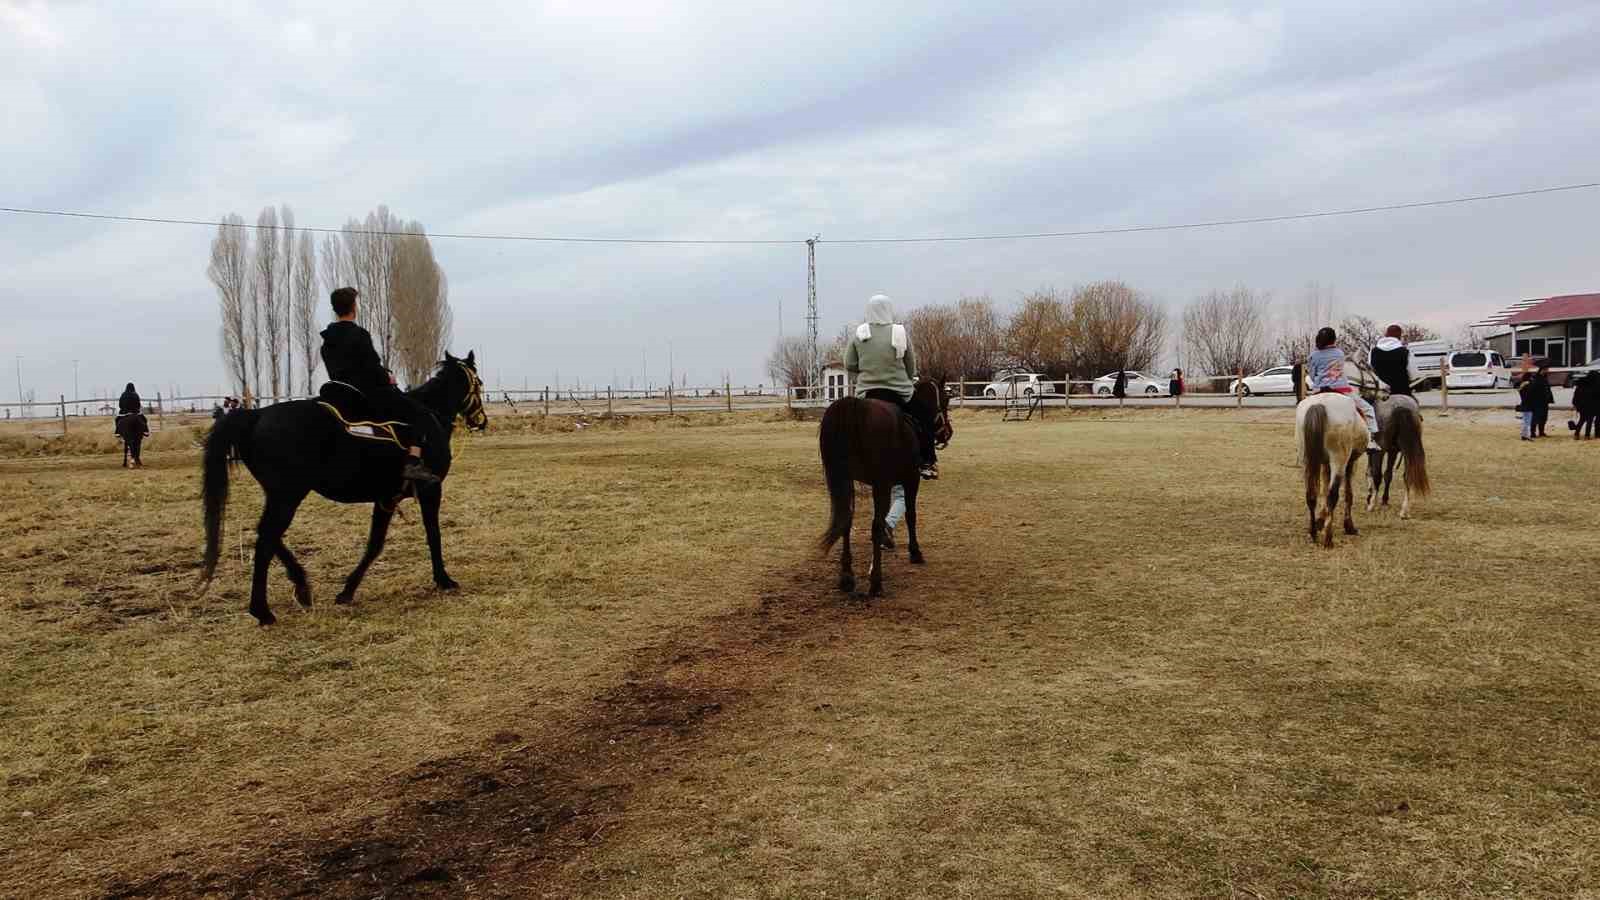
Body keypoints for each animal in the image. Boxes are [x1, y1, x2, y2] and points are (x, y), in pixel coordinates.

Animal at [200, 350, 486, 624]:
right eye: (479, 383)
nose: (481, 421)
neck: (431, 413)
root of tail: (256, 414)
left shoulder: (386, 498)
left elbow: (374, 544)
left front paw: (347, 591)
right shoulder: (430, 491)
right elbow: (432, 534)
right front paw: (444, 580)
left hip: (281, 495)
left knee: (266, 534)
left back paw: (301, 587)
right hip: (287, 495)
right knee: (266, 539)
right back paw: (263, 611)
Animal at [825, 377, 947, 595]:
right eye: (947, 399)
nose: (948, 433)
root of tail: (856, 407)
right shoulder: (910, 480)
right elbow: (910, 515)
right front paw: (915, 552)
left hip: (845, 481)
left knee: (845, 521)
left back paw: (847, 577)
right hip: (881, 483)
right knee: (874, 525)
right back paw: (876, 581)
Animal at [1292, 393, 1369, 547]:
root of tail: (1319, 404)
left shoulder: (1325, 464)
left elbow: (1324, 489)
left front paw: (1320, 521)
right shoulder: (1351, 463)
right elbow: (1348, 494)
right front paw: (1349, 526)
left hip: (1307, 461)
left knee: (1311, 495)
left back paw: (1313, 533)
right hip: (1338, 460)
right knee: (1332, 496)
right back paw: (1328, 539)